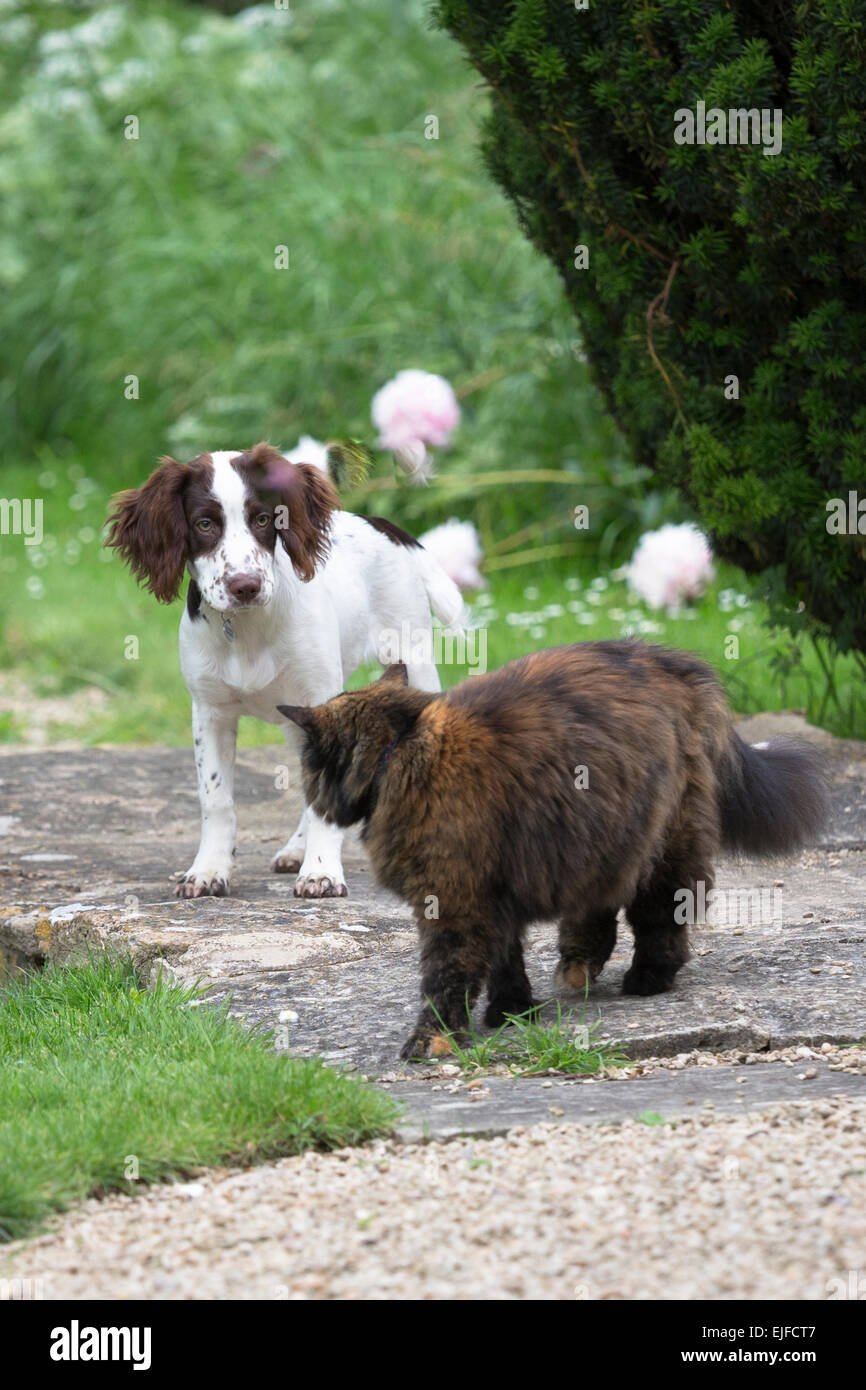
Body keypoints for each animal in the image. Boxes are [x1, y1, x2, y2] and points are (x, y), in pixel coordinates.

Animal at [107, 444, 464, 900]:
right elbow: (215, 798)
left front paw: (322, 870)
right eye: (204, 524)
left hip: (412, 660)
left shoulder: (322, 700)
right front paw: (208, 869)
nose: (245, 586)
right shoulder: (210, 711)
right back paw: (296, 847)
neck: (246, 630)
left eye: (262, 520)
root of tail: (381, 523)